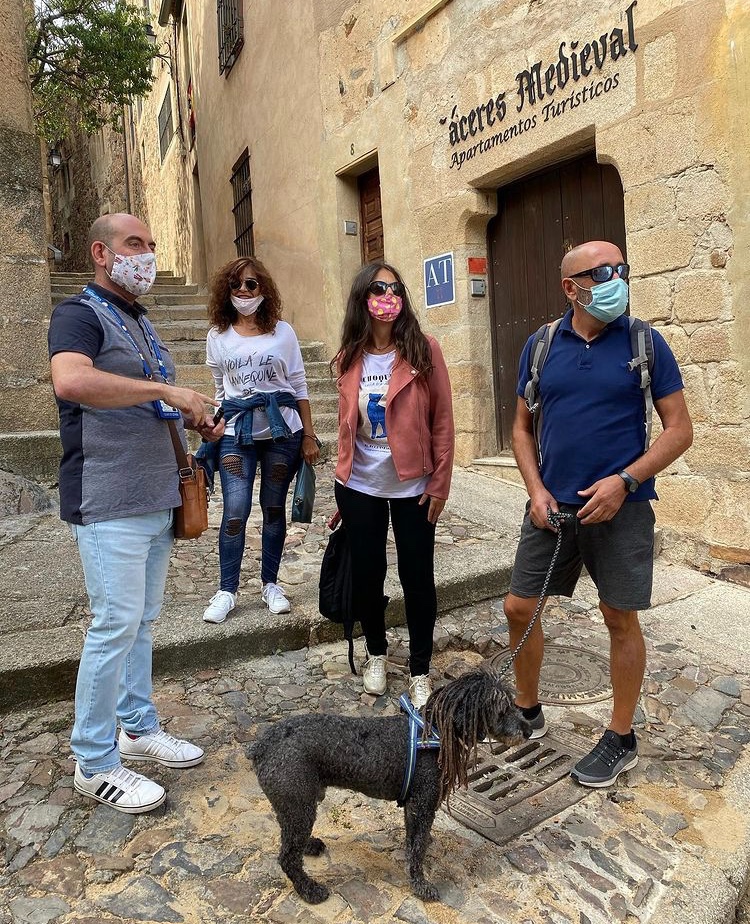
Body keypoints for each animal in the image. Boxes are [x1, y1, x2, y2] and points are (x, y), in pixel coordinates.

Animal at [250, 668, 531, 903]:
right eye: (501, 708)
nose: (528, 729)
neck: (435, 731)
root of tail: (261, 747)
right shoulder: (422, 804)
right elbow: (416, 850)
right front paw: (421, 885)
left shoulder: (414, 806)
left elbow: (415, 840)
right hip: (298, 802)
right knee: (287, 857)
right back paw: (309, 890)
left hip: (299, 802)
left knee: (290, 838)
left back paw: (309, 845)